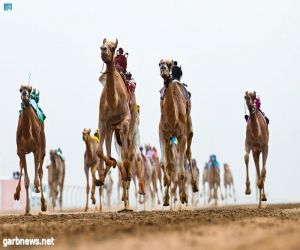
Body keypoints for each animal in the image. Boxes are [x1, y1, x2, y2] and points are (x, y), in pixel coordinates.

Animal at [14, 85, 47, 214]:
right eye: (20, 90)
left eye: (30, 90)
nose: (24, 94)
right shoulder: (21, 151)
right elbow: (26, 181)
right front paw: (27, 209)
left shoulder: (36, 150)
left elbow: (37, 175)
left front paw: (37, 188)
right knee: (22, 167)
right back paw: (17, 194)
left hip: (43, 146)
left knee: (41, 170)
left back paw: (43, 204)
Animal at [158, 59, 198, 207]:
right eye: (159, 63)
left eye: (169, 63)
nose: (163, 68)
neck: (172, 119)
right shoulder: (162, 133)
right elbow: (164, 164)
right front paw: (165, 185)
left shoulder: (182, 136)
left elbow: (181, 171)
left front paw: (184, 197)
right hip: (170, 139)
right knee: (171, 164)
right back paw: (166, 198)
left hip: (189, 129)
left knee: (188, 153)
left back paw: (194, 187)